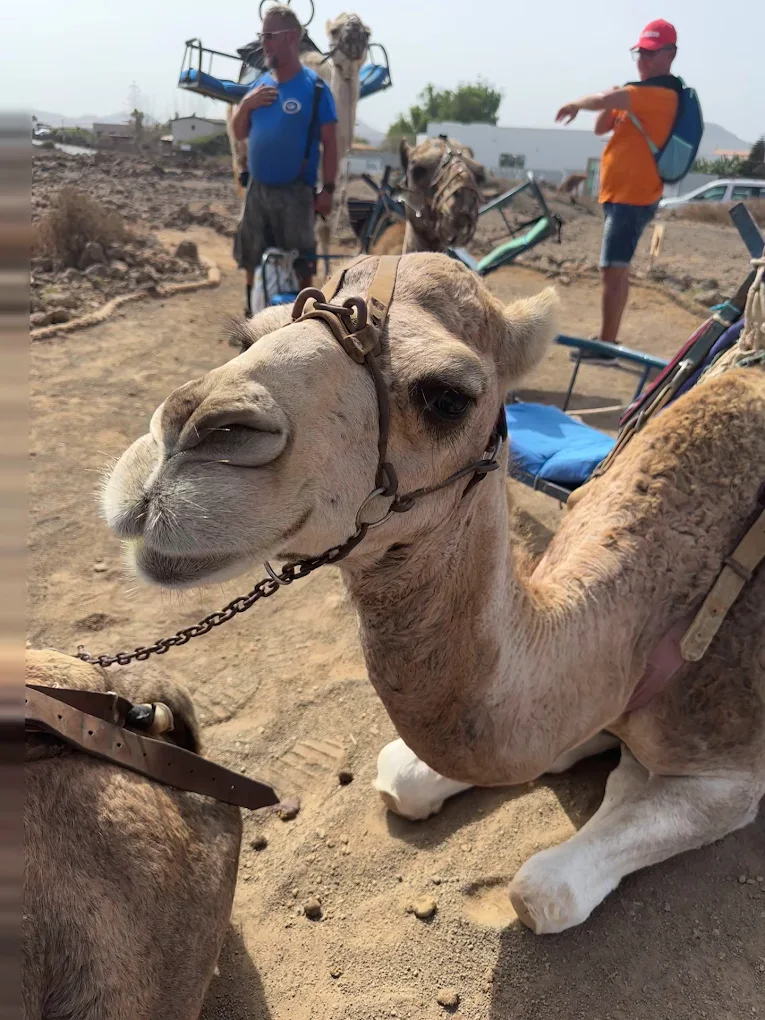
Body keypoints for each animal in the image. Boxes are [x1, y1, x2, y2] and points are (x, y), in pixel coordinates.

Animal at [101, 253, 764, 936]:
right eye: (245, 338)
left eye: (448, 397)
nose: (190, 431)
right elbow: (408, 776)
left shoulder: (729, 765)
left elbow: (543, 890)